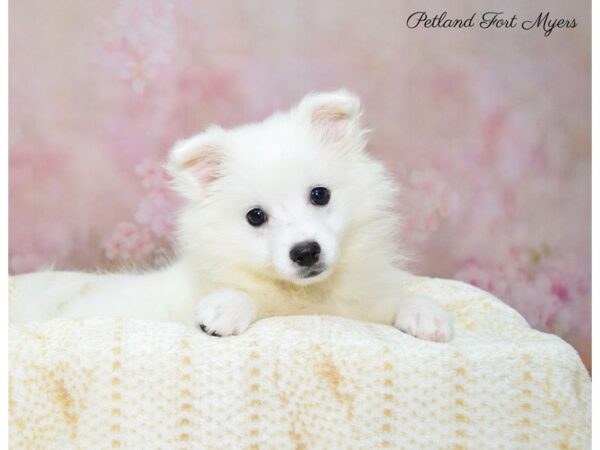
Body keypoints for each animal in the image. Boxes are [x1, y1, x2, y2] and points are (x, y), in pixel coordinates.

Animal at [9, 92, 452, 344]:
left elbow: (397, 299)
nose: (305, 252)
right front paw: (224, 309)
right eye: (256, 217)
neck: (305, 297)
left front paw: (427, 313)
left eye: (320, 195)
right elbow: (241, 296)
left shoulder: (359, 306)